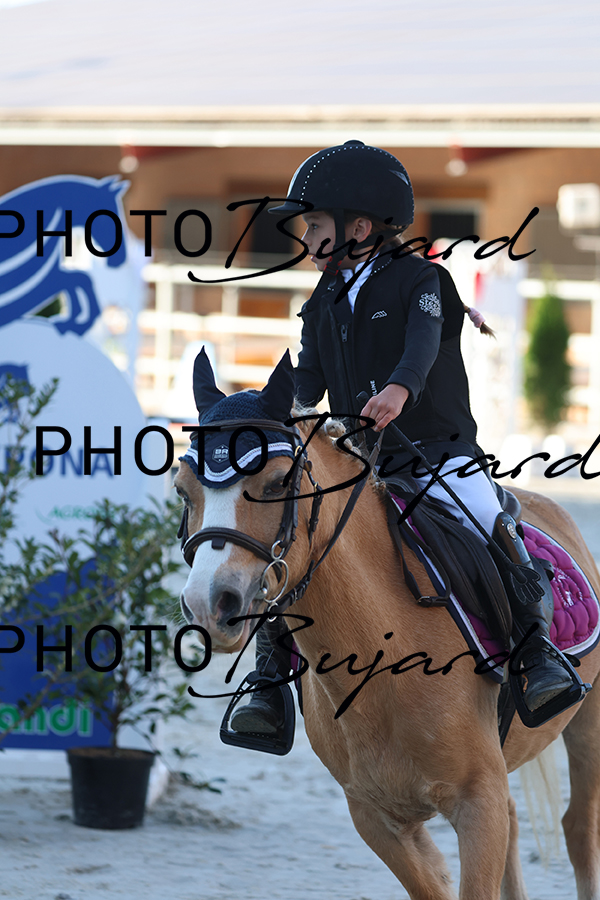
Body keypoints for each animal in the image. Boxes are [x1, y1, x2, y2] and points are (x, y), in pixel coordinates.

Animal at [0, 175, 128, 335]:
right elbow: (76, 280)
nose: (119, 259)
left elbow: (79, 279)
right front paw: (77, 322)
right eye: (105, 219)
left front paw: (73, 322)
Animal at [175, 353, 600, 900]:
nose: (210, 604)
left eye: (277, 482)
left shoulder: (476, 802)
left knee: (579, 828)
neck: (382, 659)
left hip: (588, 726)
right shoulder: (377, 816)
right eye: (183, 490)